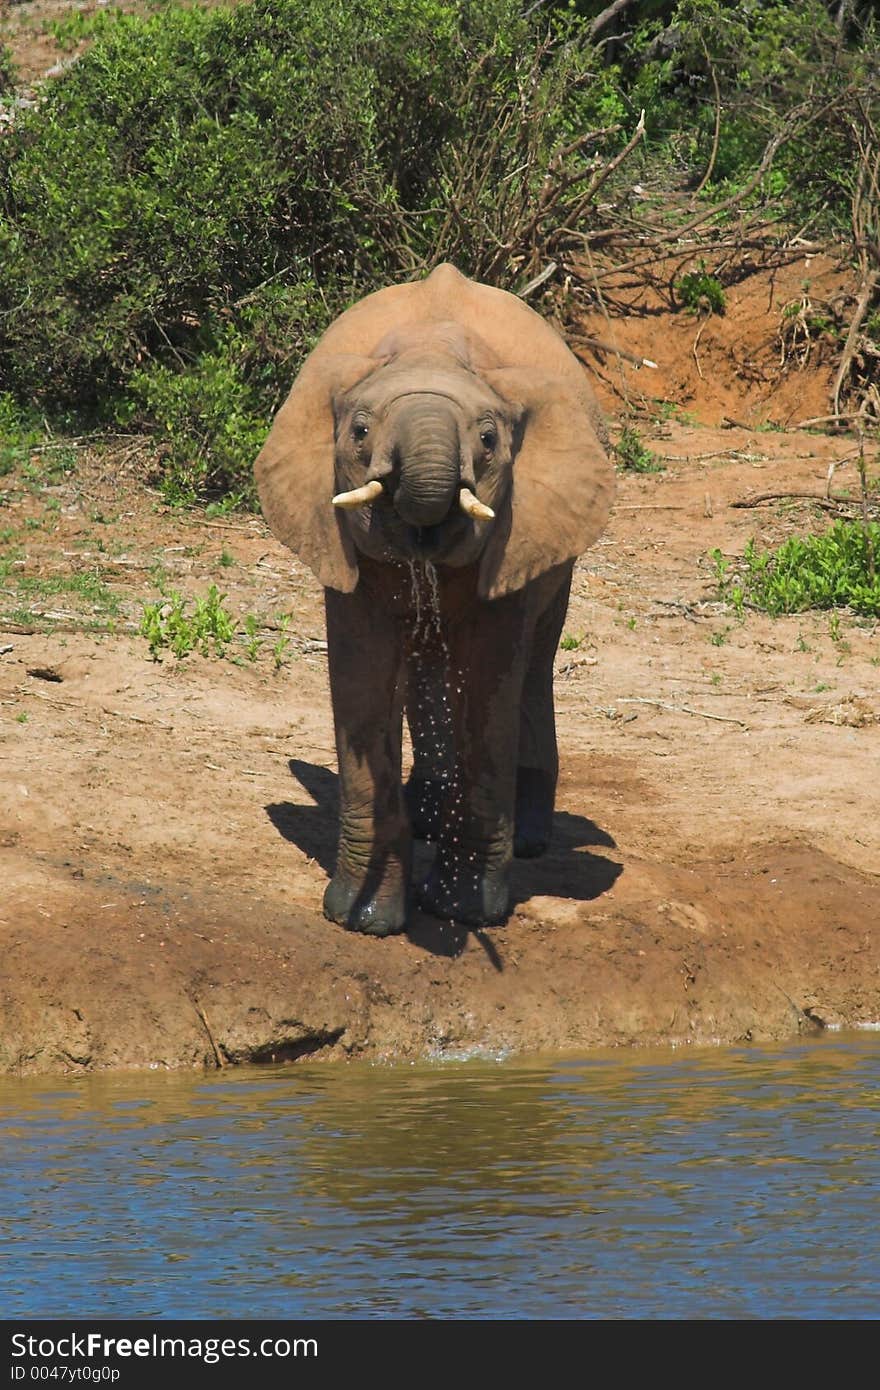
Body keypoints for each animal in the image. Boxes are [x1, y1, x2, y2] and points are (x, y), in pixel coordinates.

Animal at [254, 262, 611, 934]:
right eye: (360, 432)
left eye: (491, 440)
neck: (431, 353)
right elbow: (363, 673)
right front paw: (362, 918)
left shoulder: (520, 520)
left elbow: (490, 680)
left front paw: (463, 913)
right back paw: (426, 816)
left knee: (535, 662)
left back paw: (528, 841)